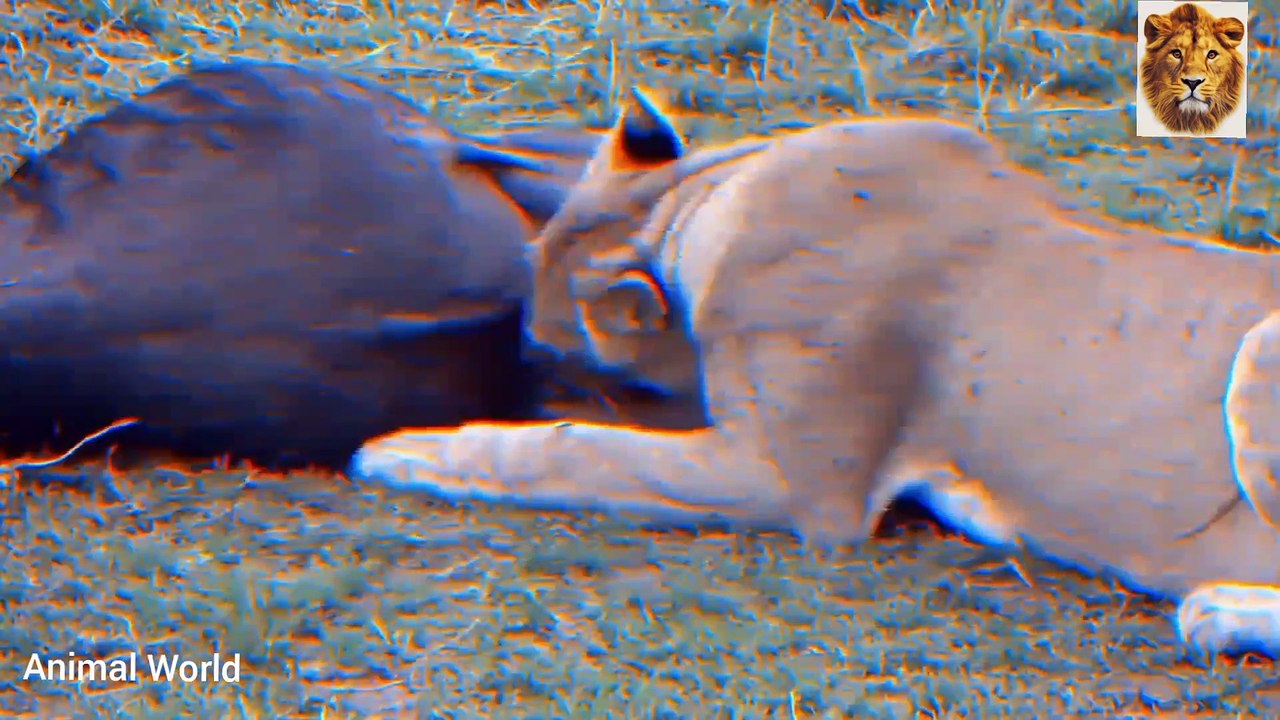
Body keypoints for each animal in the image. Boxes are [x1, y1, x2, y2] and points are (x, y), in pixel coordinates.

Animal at [354, 89, 1280, 657]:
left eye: (551, 357)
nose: (517, 373)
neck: (695, 205)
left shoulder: (790, 482)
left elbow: (576, 450)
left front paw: (413, 451)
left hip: (1260, 351)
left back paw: (1219, 612)